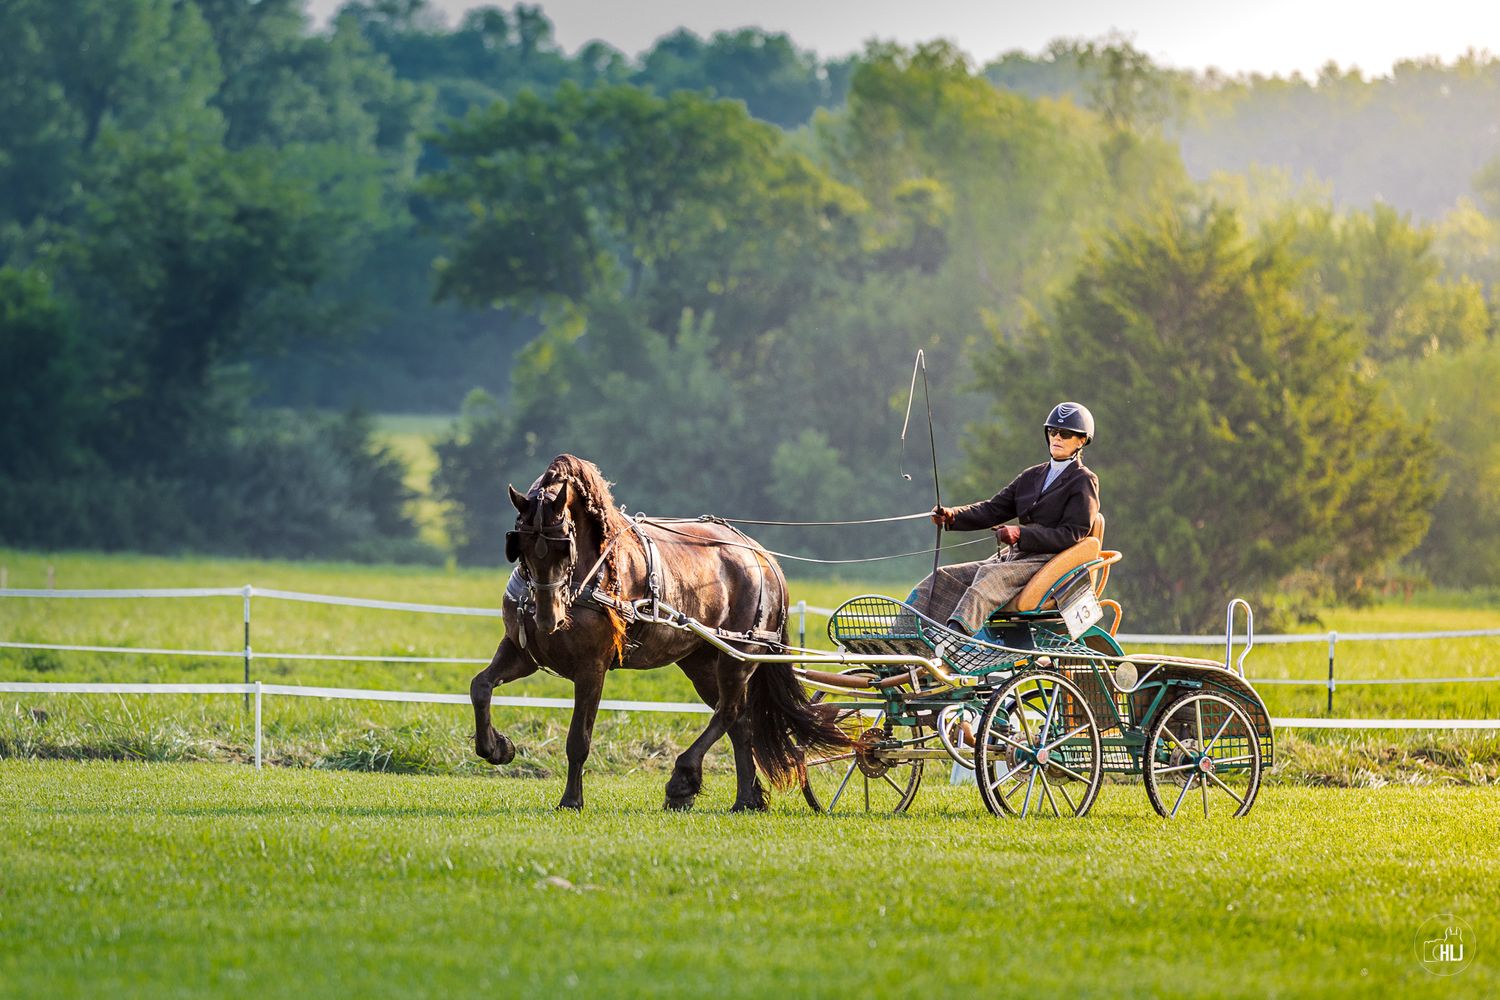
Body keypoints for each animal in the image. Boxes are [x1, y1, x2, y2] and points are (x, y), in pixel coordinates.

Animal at [470, 454, 848, 811]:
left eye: (566, 545)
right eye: (520, 546)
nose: (549, 618)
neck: (593, 573)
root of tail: (763, 557)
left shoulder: (591, 667)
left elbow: (579, 739)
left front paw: (571, 800)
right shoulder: (524, 652)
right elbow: (480, 686)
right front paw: (497, 748)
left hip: (738, 656)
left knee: (728, 713)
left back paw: (684, 780)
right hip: (701, 662)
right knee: (739, 721)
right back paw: (745, 799)